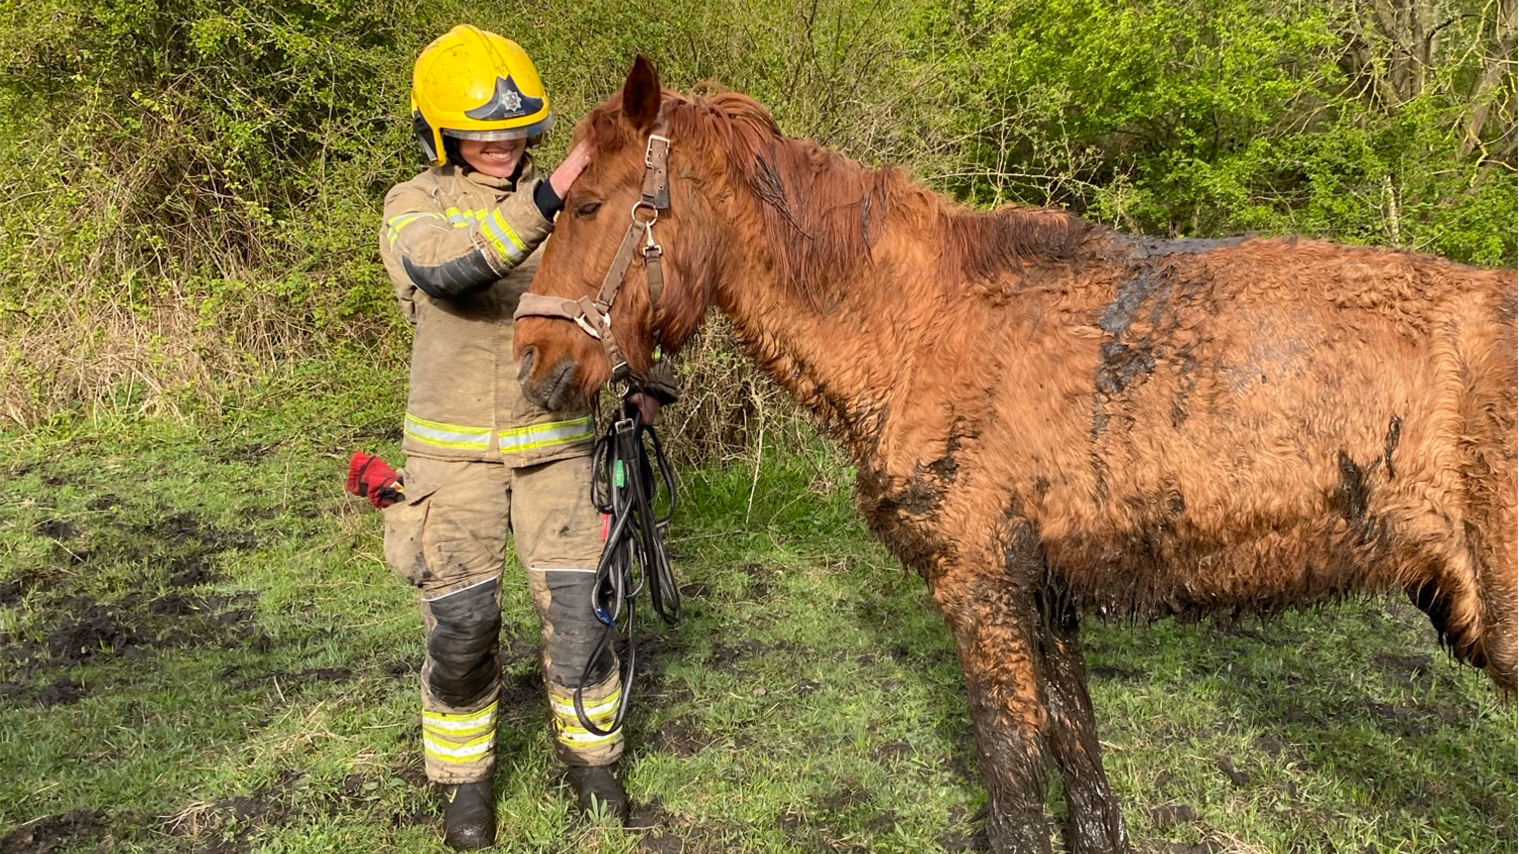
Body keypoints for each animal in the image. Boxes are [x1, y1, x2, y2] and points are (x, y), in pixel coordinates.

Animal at [512, 57, 1517, 853]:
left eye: (590, 204)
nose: (533, 363)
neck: (919, 325)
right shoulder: (1046, 592)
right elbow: (1079, 762)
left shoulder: (979, 585)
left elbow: (1013, 780)